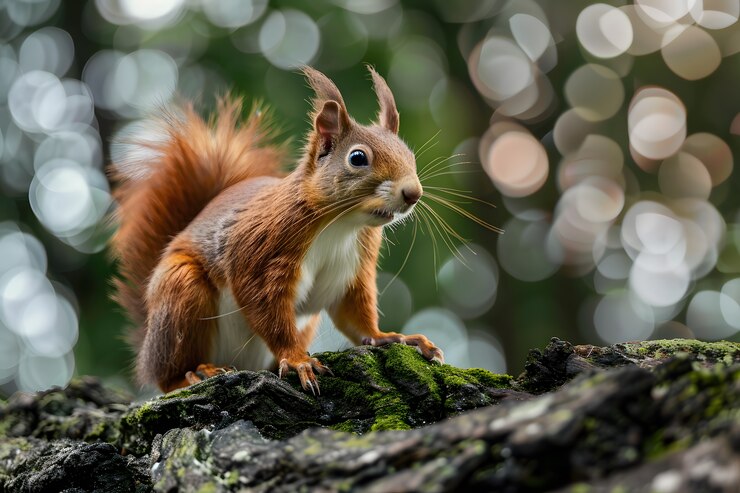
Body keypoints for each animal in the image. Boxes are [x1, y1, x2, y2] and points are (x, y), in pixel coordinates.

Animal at [109, 67, 442, 394]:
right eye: (357, 158)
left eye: (409, 155)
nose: (413, 193)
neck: (341, 224)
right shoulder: (264, 249)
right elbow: (265, 307)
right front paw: (297, 360)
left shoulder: (353, 267)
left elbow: (355, 315)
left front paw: (390, 337)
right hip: (180, 294)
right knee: (166, 376)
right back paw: (195, 373)